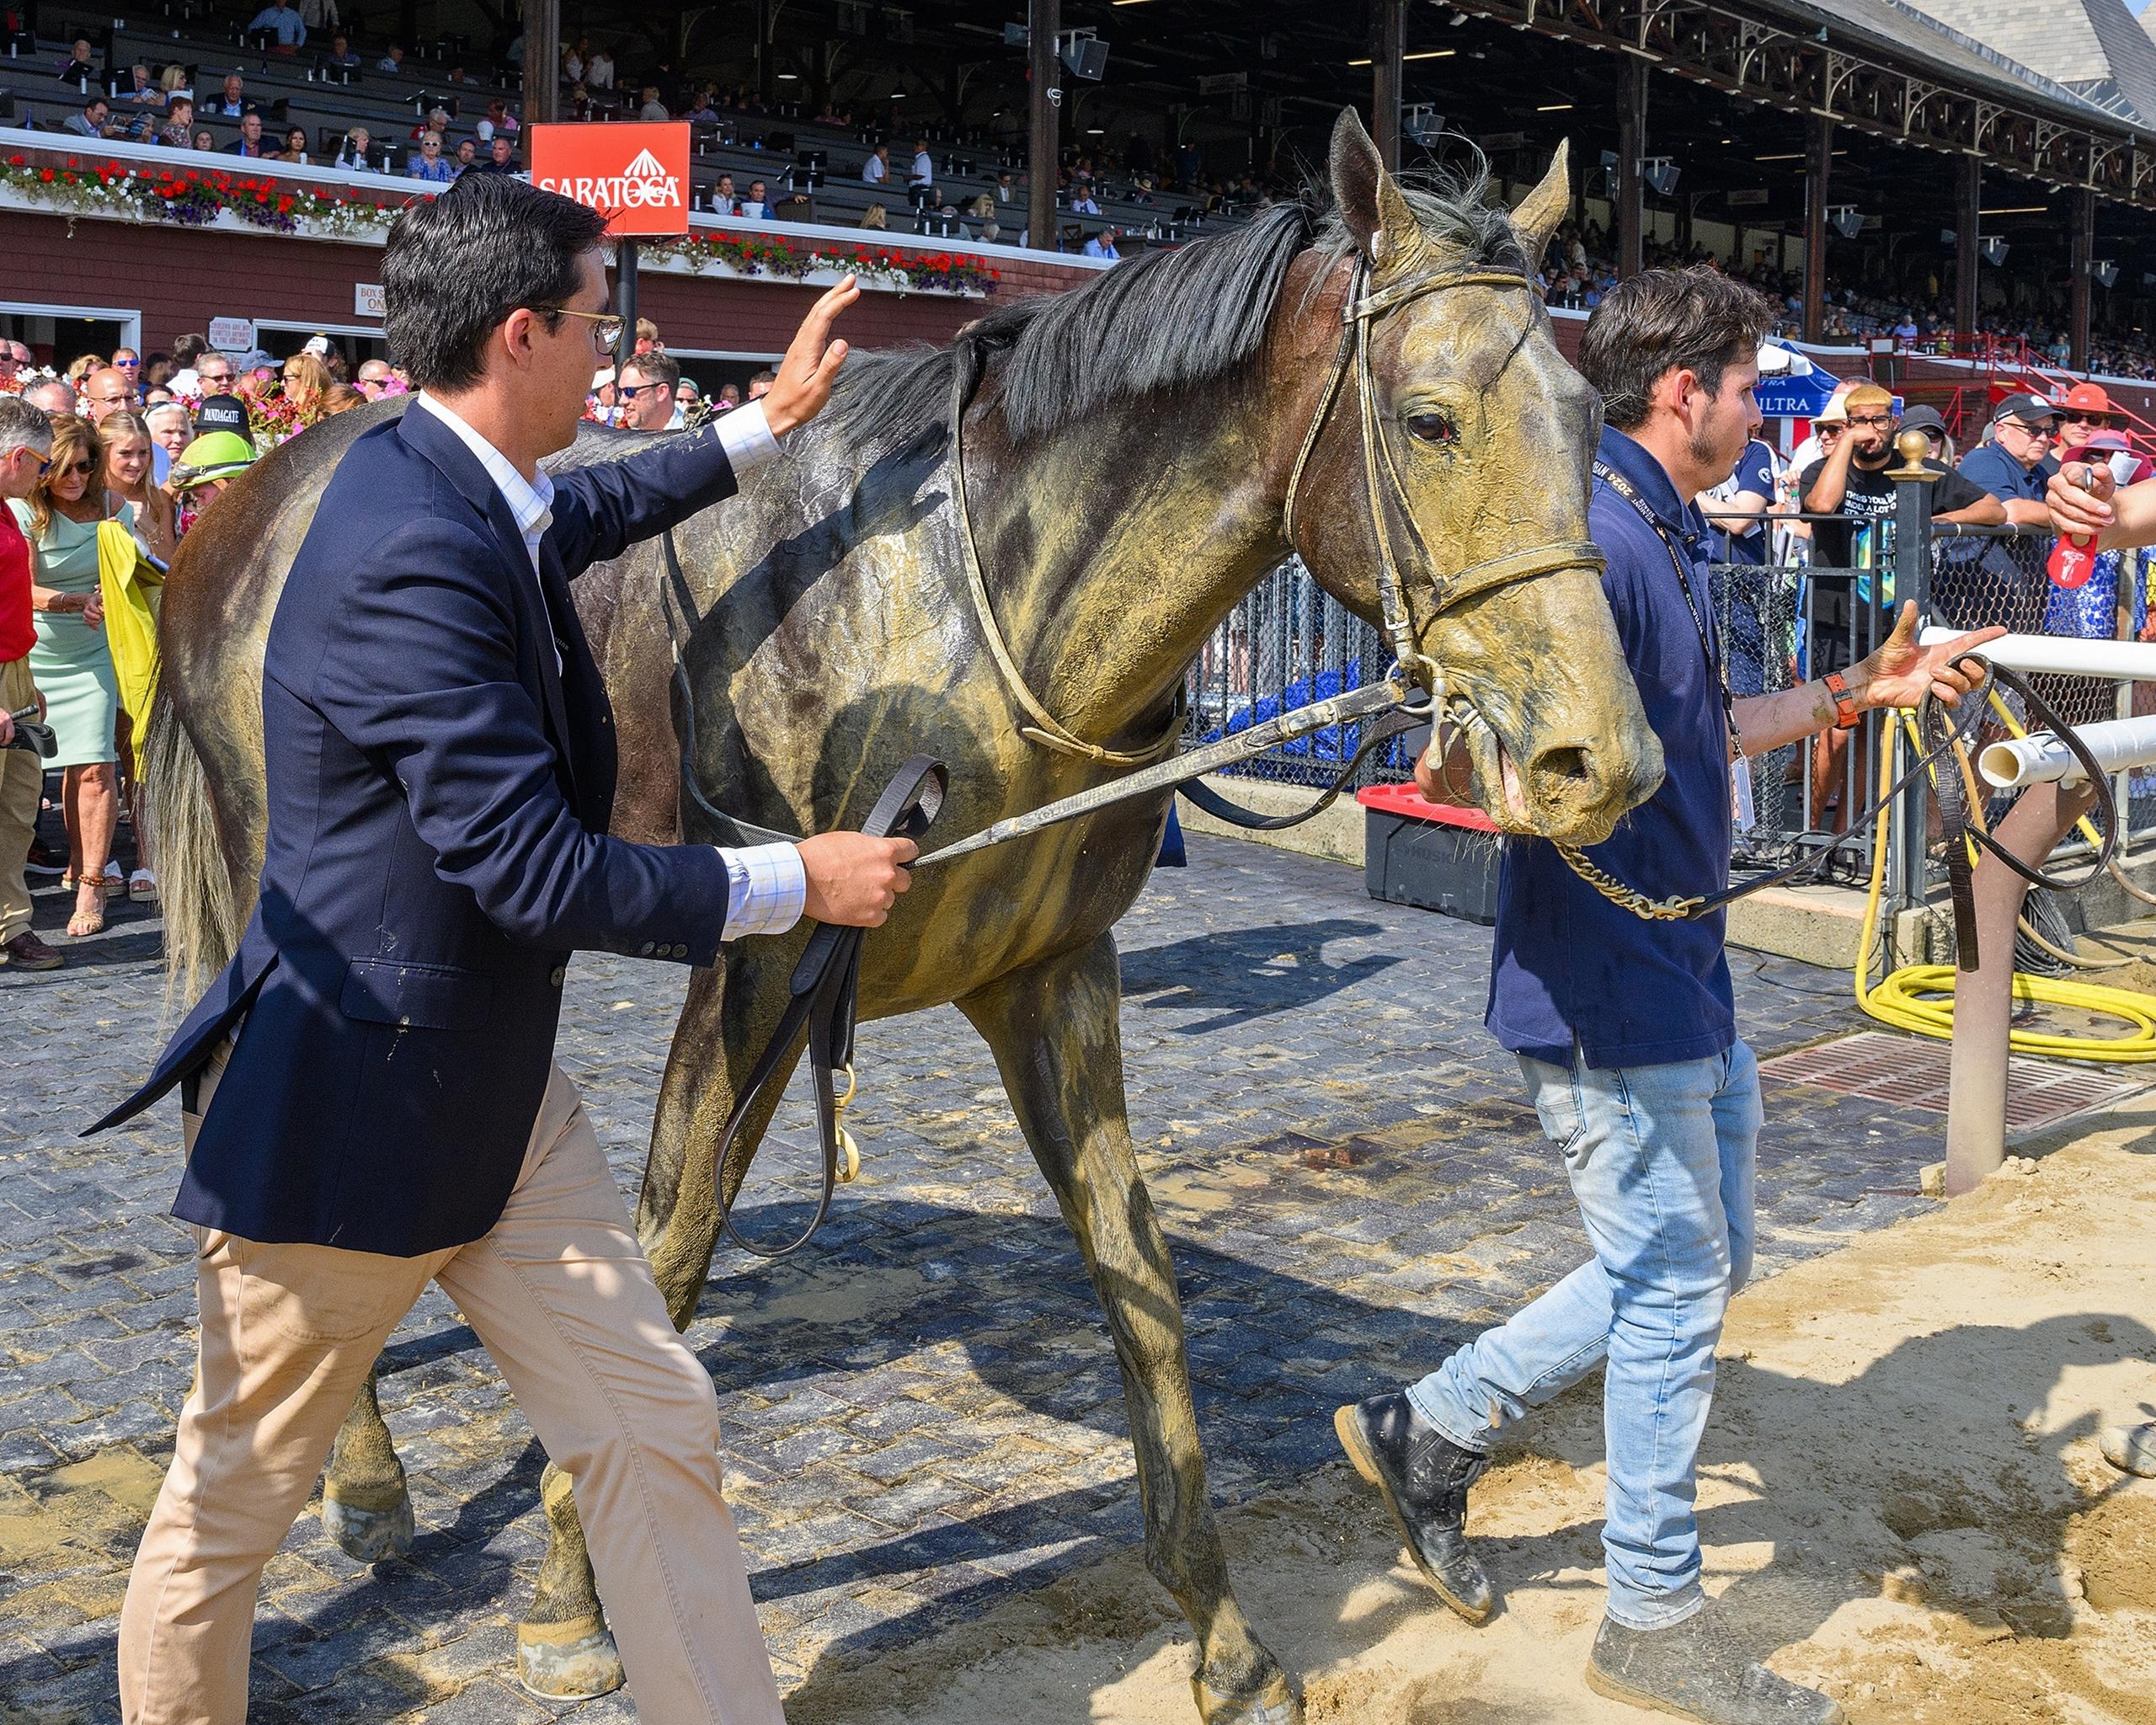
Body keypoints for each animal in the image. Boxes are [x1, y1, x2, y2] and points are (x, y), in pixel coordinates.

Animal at [146, 111, 1660, 1724]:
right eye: (1430, 419)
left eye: (1588, 421)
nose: (1600, 760)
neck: (971, 618)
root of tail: (237, 509)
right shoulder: (759, 976)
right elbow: (671, 1255)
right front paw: (571, 1587)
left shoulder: (1052, 975)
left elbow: (1140, 1278)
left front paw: (1224, 1633)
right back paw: (365, 1471)